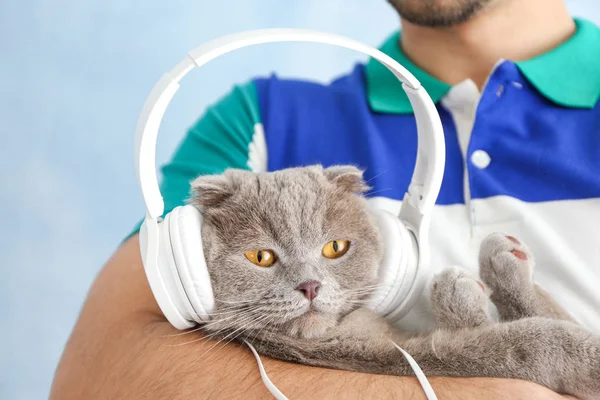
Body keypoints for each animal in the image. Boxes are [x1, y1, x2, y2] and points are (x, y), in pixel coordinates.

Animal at [190, 164, 596, 398]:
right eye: (261, 257)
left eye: (334, 247)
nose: (310, 286)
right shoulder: (383, 354)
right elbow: (508, 346)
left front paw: (499, 268)